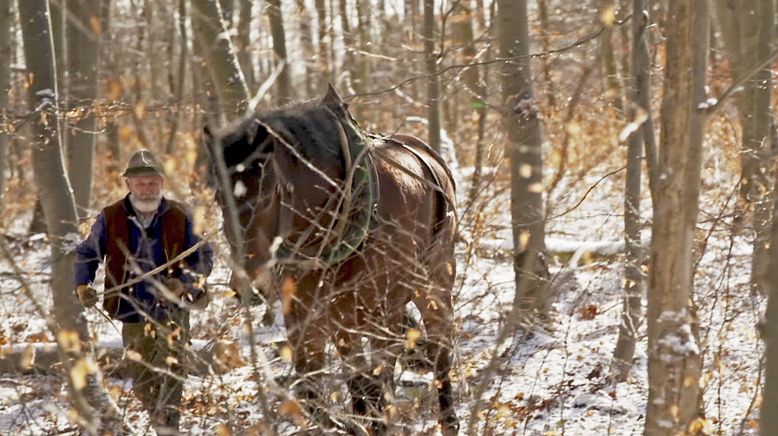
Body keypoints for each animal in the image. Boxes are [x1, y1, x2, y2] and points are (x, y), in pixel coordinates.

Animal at [206, 87, 458, 434]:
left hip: (432, 286)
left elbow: (376, 387)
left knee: (439, 353)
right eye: (220, 198)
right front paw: (351, 423)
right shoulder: (307, 323)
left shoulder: (381, 316)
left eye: (268, 196)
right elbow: (314, 396)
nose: (249, 286)